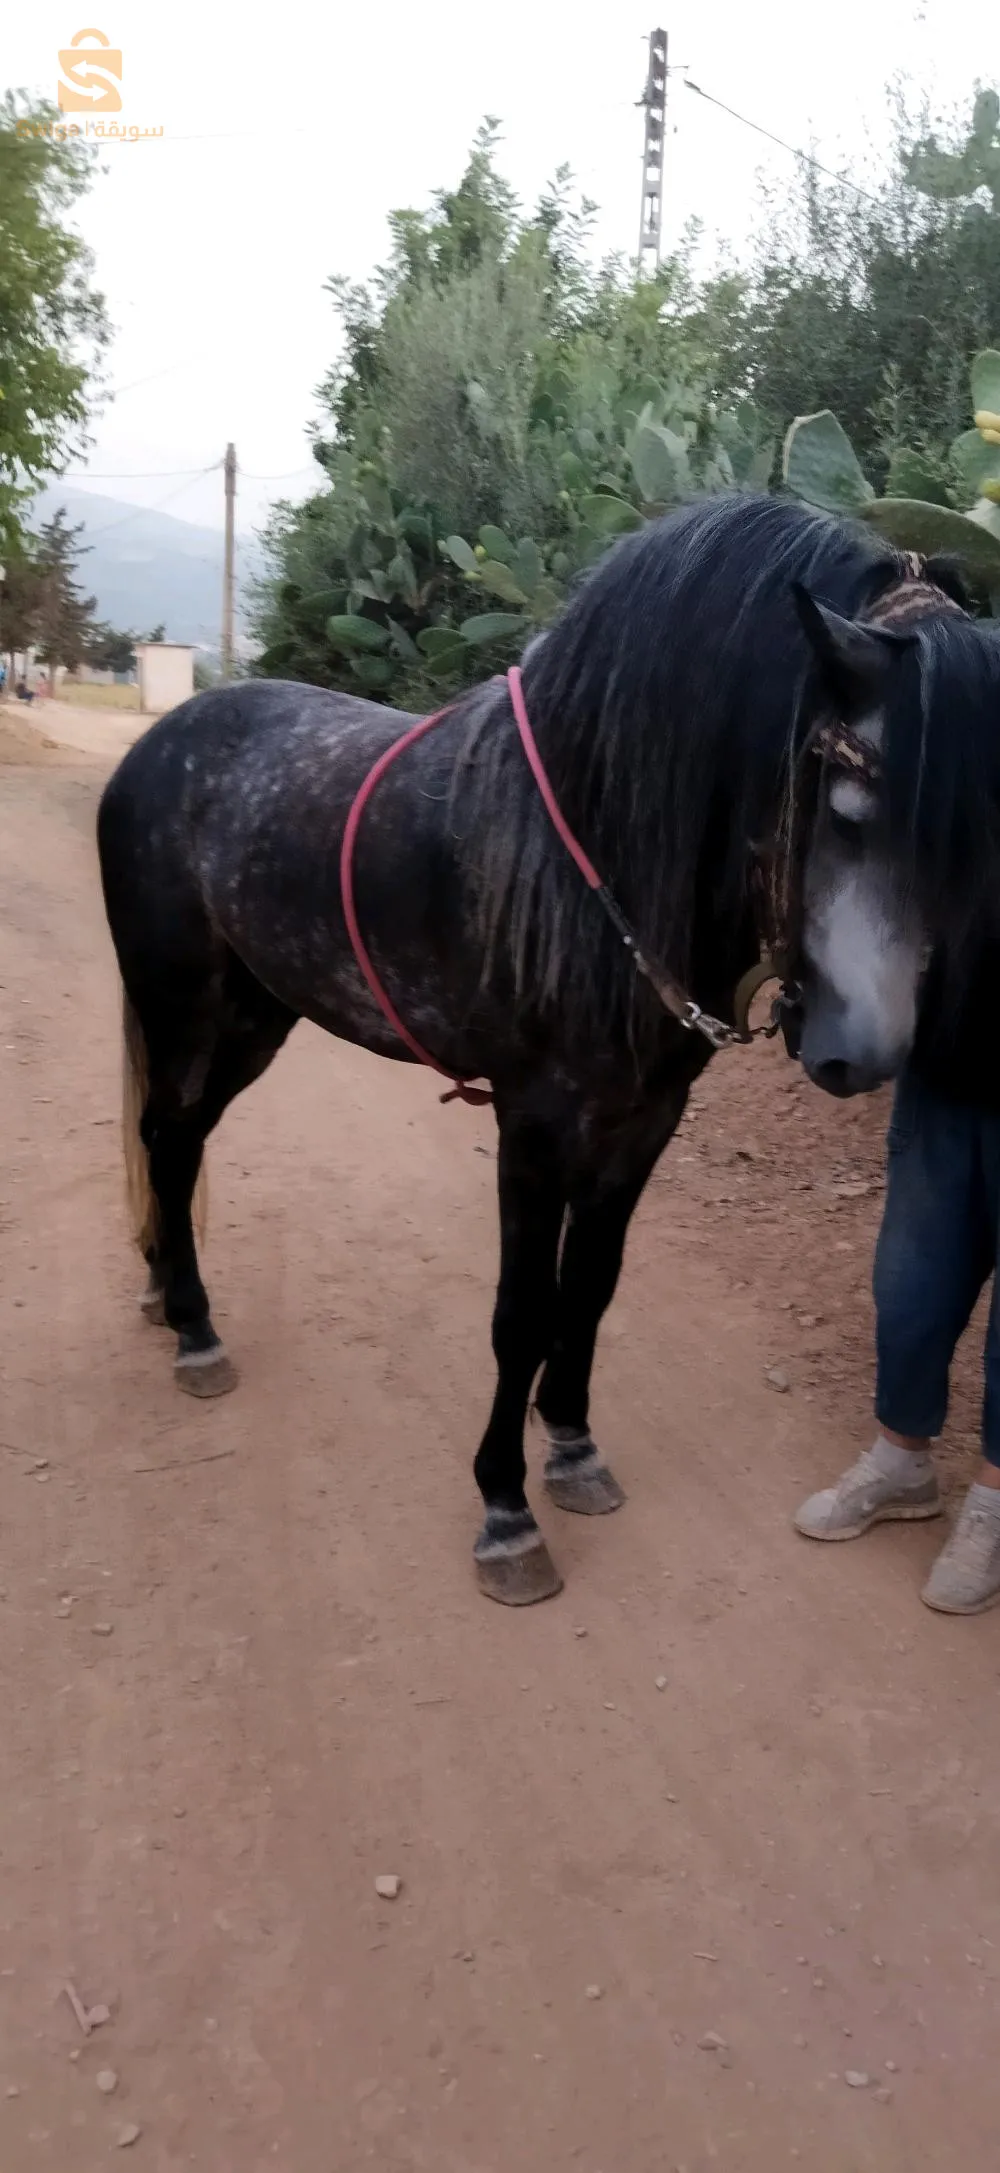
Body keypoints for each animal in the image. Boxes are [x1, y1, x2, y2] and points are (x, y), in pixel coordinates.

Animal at [96, 493, 1000, 1604]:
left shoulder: (644, 1120)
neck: (590, 853)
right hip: (180, 1001)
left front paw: (571, 1447)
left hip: (257, 1016)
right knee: (169, 1135)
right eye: (848, 805)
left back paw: (166, 1298)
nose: (855, 1057)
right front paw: (505, 1509)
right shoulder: (531, 1121)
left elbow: (592, 1287)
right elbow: (521, 1311)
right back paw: (193, 1327)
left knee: (176, 1139)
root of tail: (157, 745)